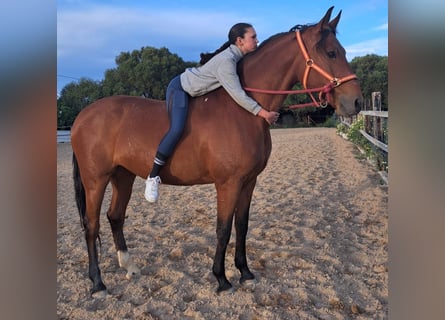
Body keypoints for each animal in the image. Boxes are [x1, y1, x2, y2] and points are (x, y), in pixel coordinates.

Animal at [69, 6, 360, 298]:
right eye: (331, 53)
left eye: (342, 51)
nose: (355, 102)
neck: (243, 109)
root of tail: (83, 116)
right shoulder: (228, 183)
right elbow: (223, 229)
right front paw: (221, 278)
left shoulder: (248, 182)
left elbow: (241, 226)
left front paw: (245, 273)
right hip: (96, 180)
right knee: (91, 225)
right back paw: (98, 283)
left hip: (123, 176)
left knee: (115, 217)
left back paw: (129, 266)